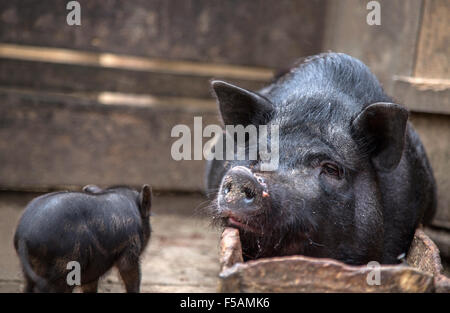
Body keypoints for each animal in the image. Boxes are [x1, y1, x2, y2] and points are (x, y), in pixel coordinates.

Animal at [14, 184, 152, 292]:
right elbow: (130, 275)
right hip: (65, 264)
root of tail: (24, 235)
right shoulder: (130, 248)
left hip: (30, 268)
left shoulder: (93, 270)